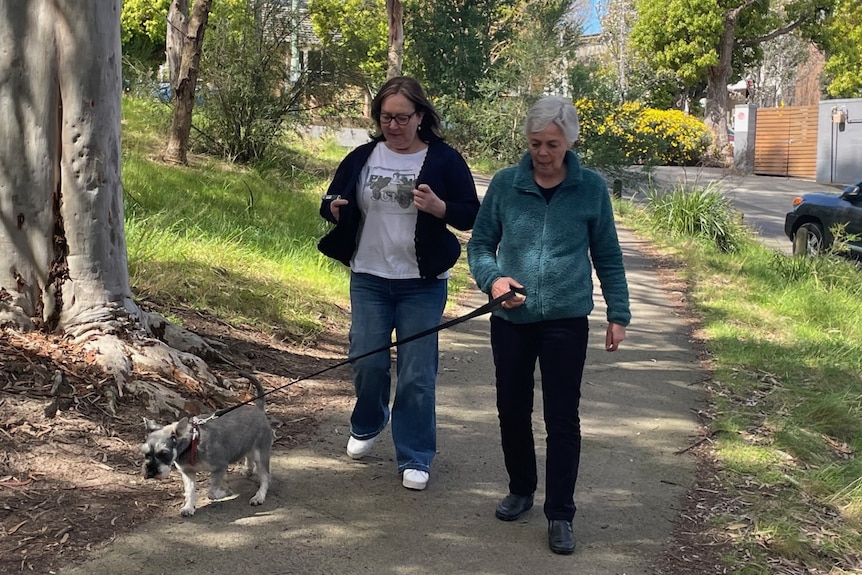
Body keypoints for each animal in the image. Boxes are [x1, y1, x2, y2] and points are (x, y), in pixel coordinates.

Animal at [140, 374, 274, 516]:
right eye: (145, 454)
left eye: (164, 453)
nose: (150, 472)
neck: (192, 443)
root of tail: (258, 408)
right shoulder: (188, 473)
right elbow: (190, 491)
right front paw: (189, 507)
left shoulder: (219, 467)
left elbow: (212, 492)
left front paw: (225, 492)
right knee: (248, 456)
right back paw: (248, 470)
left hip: (261, 454)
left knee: (265, 477)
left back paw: (259, 496)